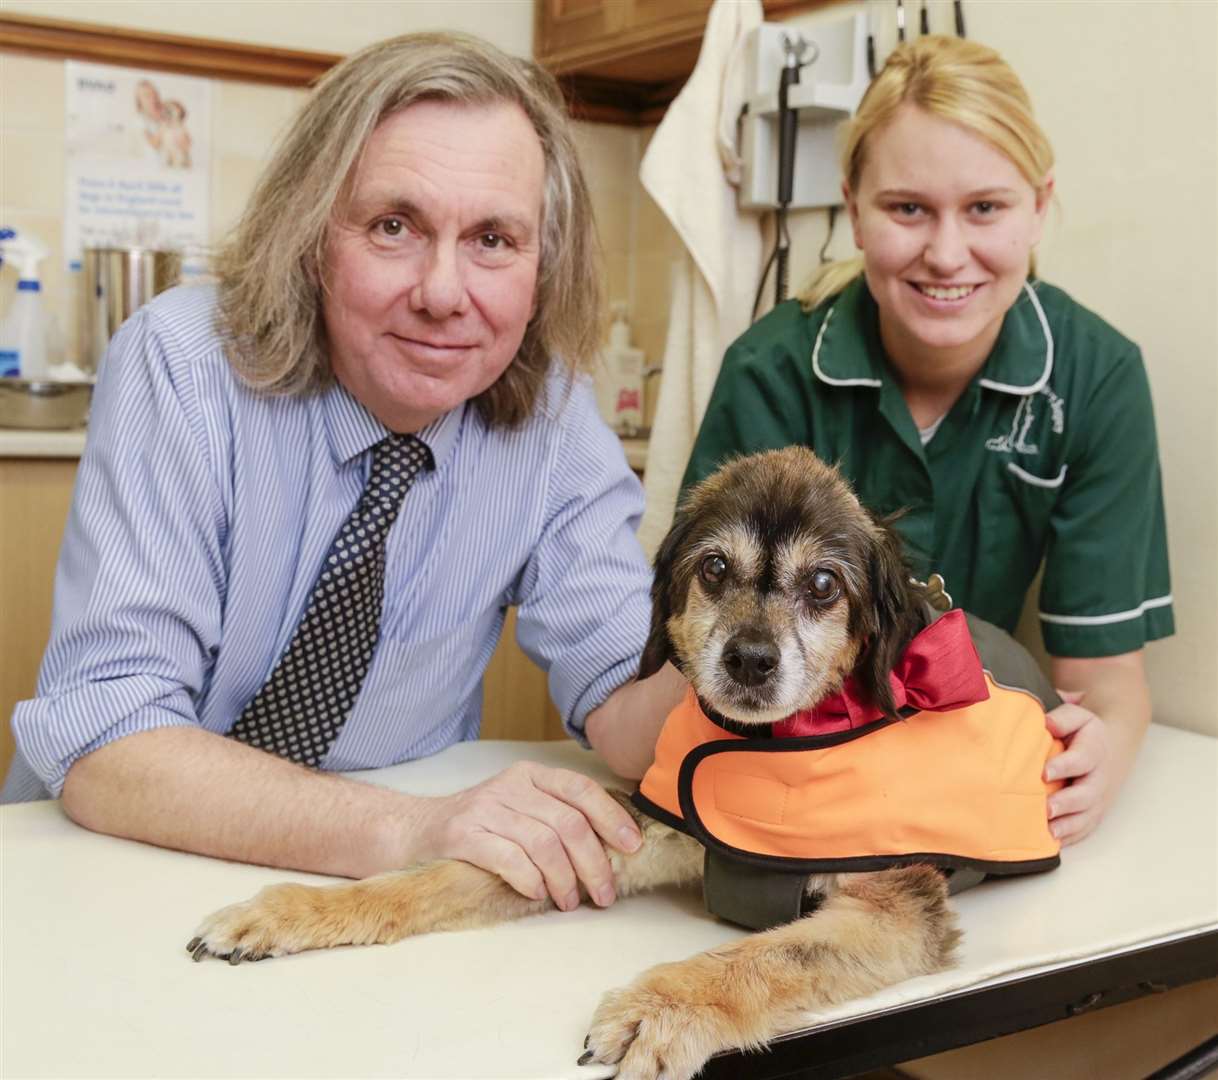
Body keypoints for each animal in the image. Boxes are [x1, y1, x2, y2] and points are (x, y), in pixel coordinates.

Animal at [185, 448, 1062, 1080]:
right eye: (713, 569)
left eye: (823, 584)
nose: (749, 660)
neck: (769, 745)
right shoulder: (630, 829)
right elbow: (440, 877)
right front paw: (289, 911)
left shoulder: (894, 911)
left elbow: (767, 953)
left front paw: (664, 1007)